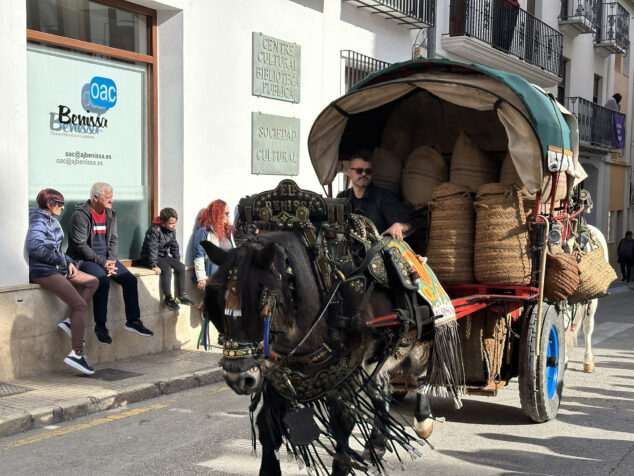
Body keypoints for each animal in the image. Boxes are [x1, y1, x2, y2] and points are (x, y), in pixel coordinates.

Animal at [202, 229, 460, 474]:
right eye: (215, 302)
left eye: (263, 302)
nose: (238, 378)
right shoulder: (277, 378)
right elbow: (268, 427)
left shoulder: (344, 376)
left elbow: (343, 433)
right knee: (382, 391)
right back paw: (376, 443)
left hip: (420, 341)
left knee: (421, 375)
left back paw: (422, 421)